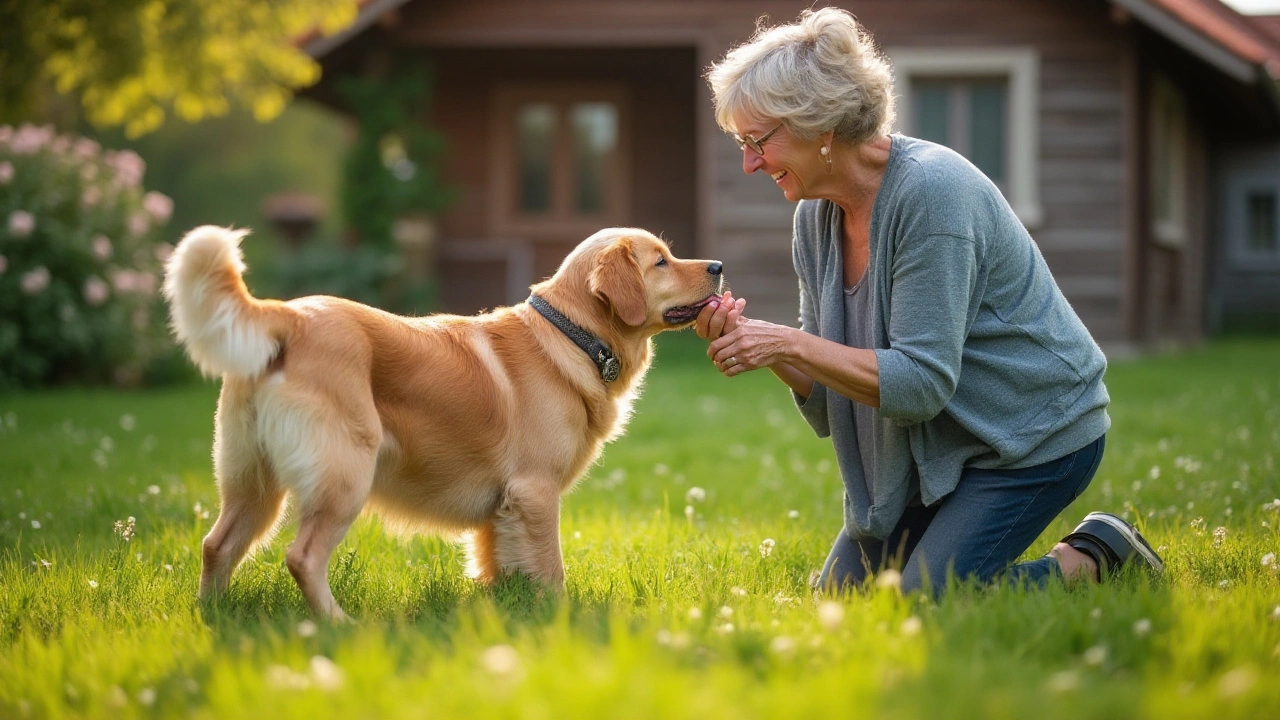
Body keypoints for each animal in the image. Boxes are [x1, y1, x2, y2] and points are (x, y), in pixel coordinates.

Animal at [162, 225, 721, 617]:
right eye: (661, 261)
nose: (717, 264)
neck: (572, 335)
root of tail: (289, 315)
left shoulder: (503, 507)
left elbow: (501, 565)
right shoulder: (535, 491)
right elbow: (551, 568)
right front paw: (557, 617)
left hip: (253, 484)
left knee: (216, 546)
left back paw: (215, 617)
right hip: (343, 476)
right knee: (302, 557)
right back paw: (338, 624)